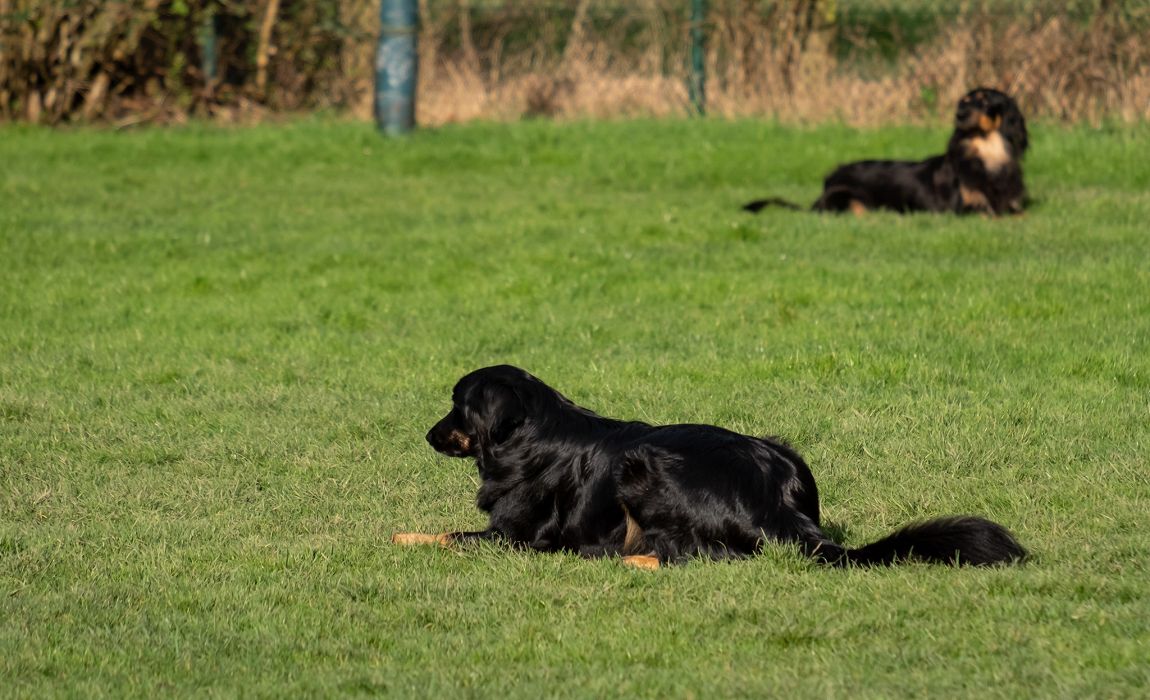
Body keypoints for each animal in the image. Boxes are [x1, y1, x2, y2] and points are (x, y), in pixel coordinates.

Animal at [393, 365, 1025, 567]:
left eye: (456, 405)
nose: (427, 434)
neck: (531, 435)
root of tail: (777, 502)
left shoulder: (515, 537)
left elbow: (450, 534)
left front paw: (404, 537)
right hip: (783, 445)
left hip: (642, 468)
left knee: (698, 555)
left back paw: (629, 561)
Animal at [745, 89, 1035, 216]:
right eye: (964, 101)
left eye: (985, 100)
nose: (959, 114)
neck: (987, 157)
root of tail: (827, 182)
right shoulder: (957, 208)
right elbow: (992, 213)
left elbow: (1016, 213)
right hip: (851, 199)